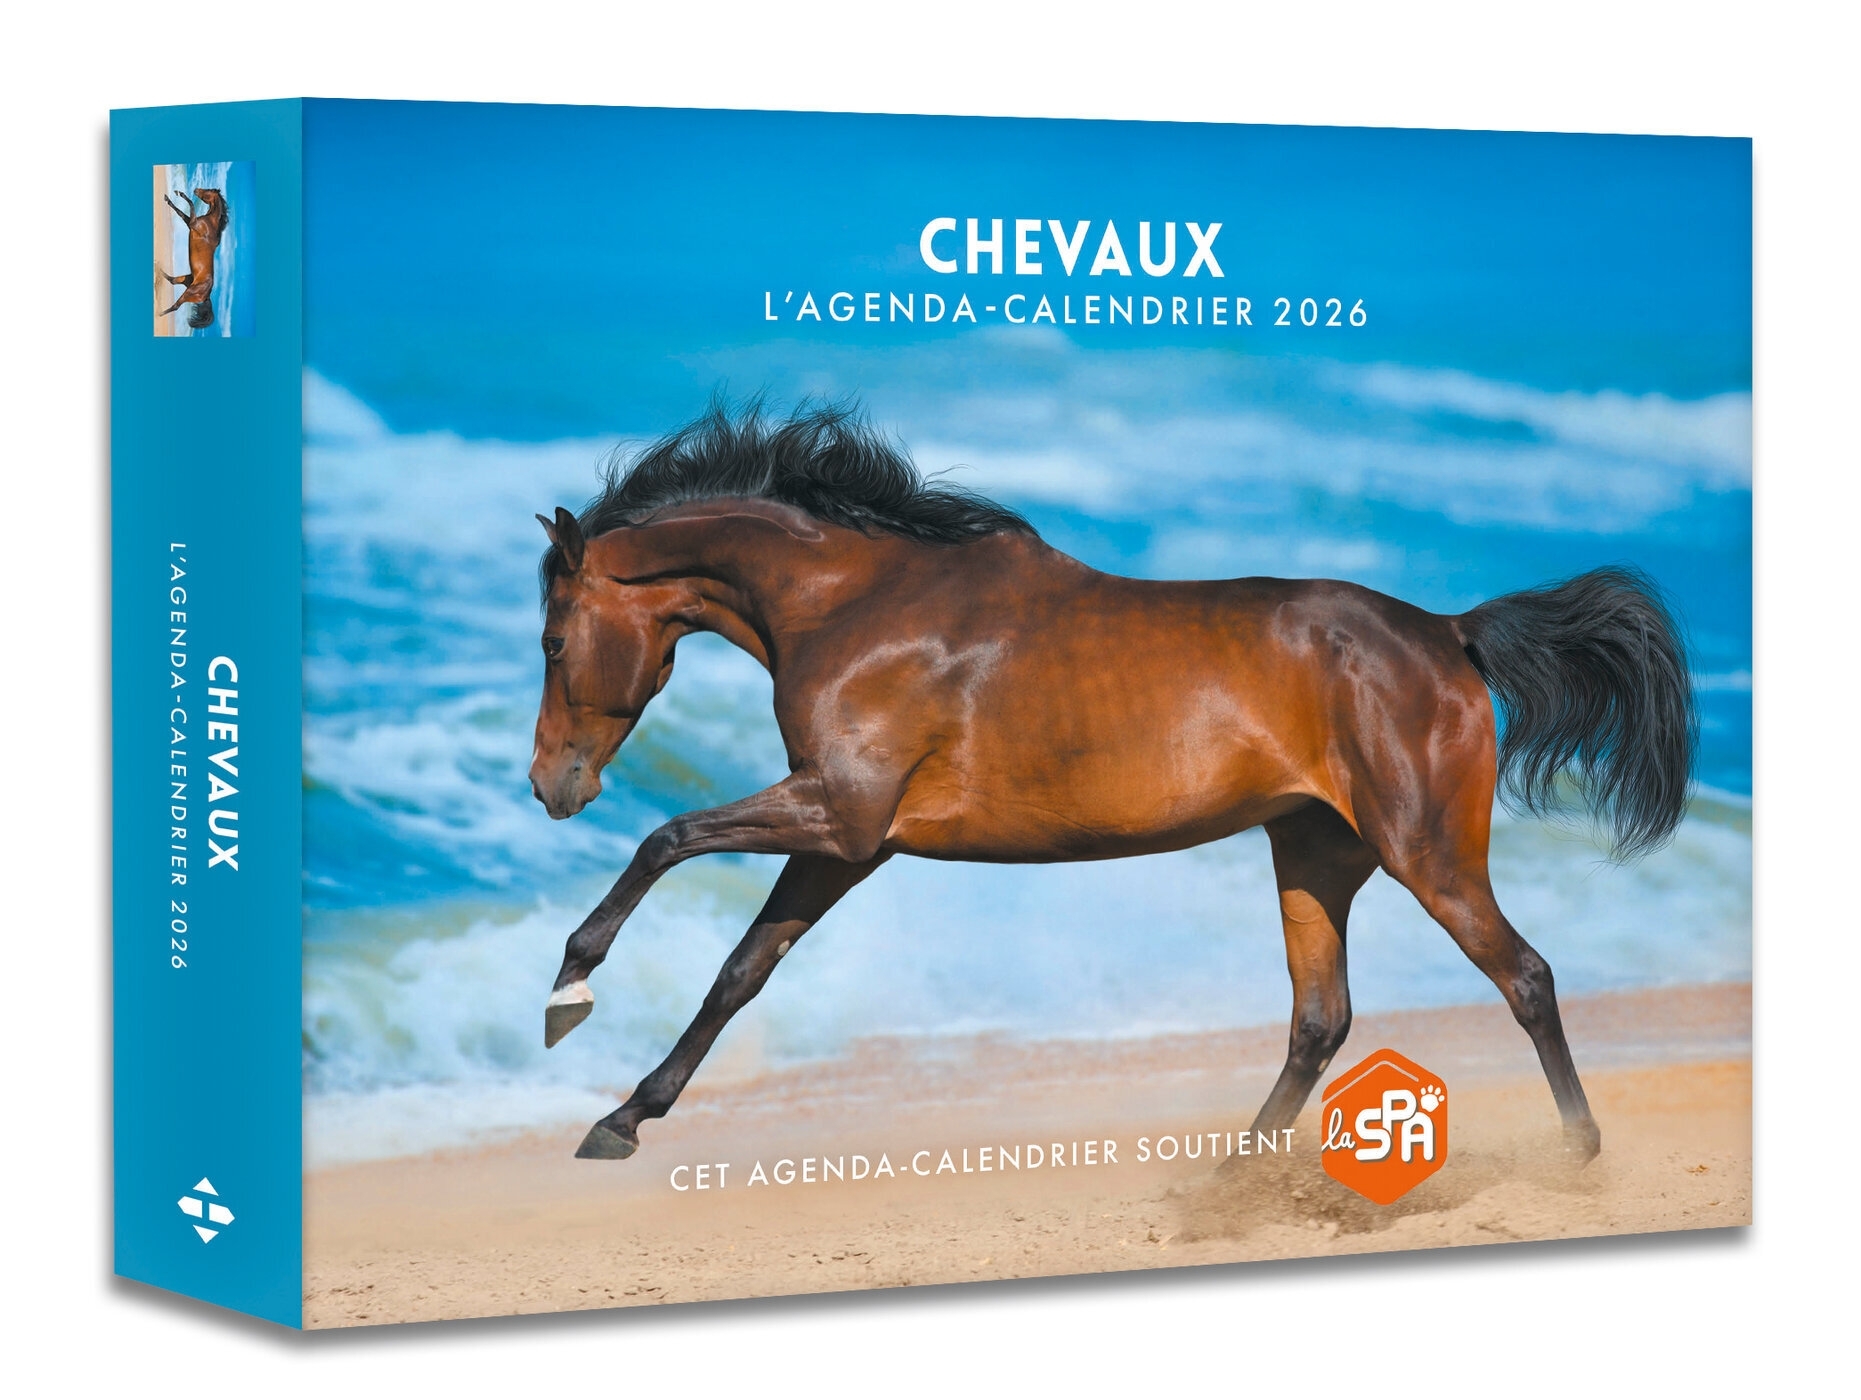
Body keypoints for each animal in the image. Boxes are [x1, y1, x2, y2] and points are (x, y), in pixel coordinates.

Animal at [158, 187, 229, 330]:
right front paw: (168, 198)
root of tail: (207, 295)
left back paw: (159, 314)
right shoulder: (189, 222)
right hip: (186, 280)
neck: (210, 223)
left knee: (176, 306)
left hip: (189, 292)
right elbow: (180, 213)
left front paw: (180, 194)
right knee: (172, 281)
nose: (196, 190)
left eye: (208, 191)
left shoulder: (192, 222)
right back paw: (158, 269)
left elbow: (189, 203)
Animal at [529, 401, 1695, 1165]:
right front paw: (622, 1117)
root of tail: (1449, 634)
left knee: (1524, 976)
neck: (859, 606)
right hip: (1315, 852)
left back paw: (1578, 1152)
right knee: (1320, 1018)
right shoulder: (846, 845)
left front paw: (568, 990)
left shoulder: (839, 814)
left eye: (550, 638)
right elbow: (740, 972)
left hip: (1427, 851)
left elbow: (666, 839)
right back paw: (1232, 1176)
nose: (551, 786)